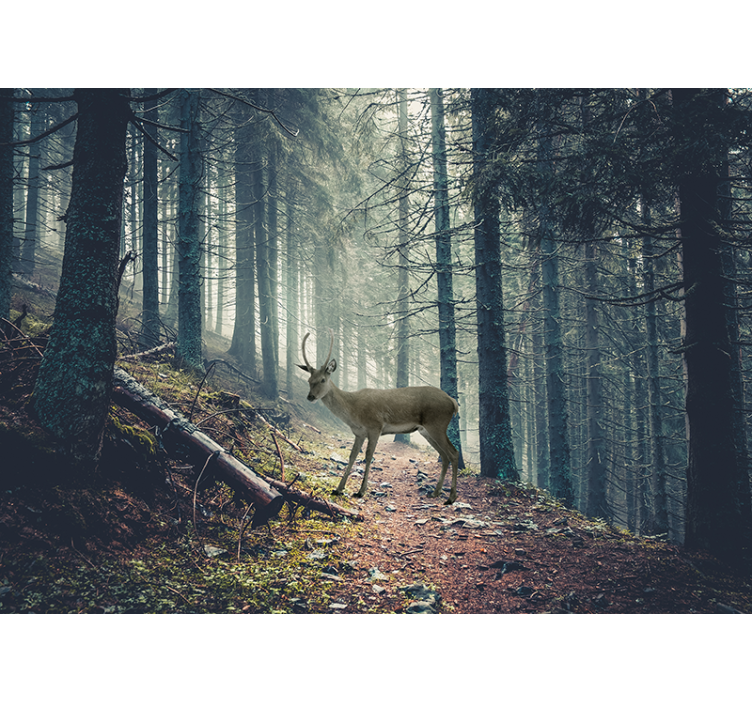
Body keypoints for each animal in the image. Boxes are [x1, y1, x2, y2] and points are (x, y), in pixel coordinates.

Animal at [297, 330, 460, 504]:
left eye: (323, 379)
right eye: (309, 380)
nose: (310, 396)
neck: (353, 411)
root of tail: (453, 402)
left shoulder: (375, 427)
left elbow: (368, 456)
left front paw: (361, 491)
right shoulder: (359, 433)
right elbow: (352, 456)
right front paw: (338, 489)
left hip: (437, 425)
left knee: (453, 453)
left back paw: (451, 497)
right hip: (426, 431)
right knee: (444, 455)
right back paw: (435, 492)